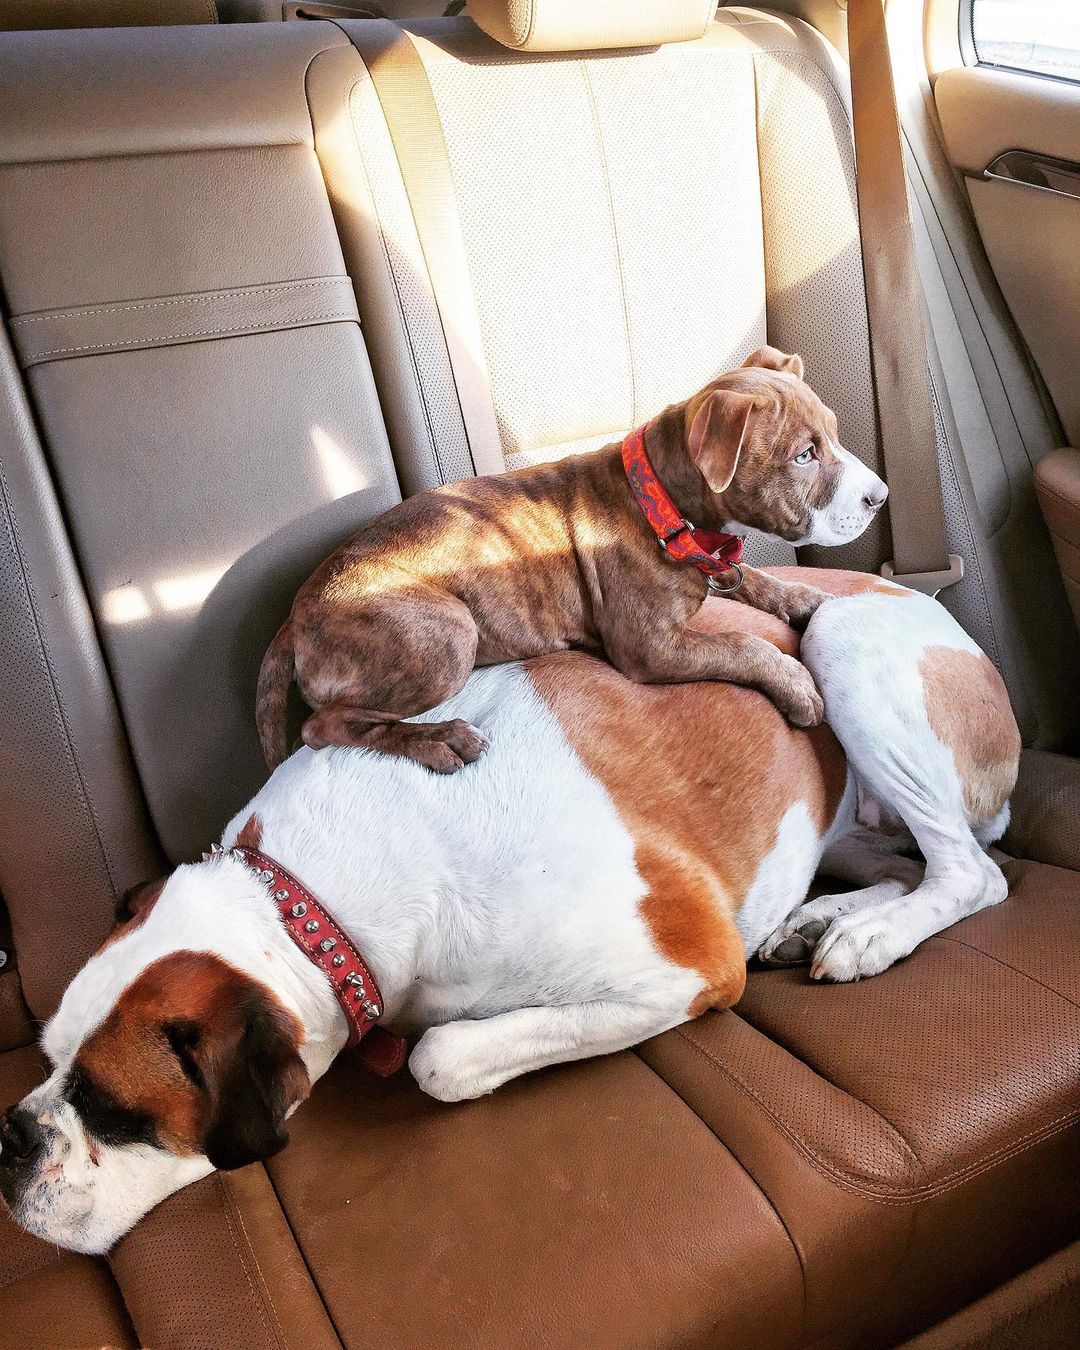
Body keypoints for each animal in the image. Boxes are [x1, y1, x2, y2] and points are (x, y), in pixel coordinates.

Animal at [0, 572, 1020, 1252]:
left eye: (112, 1110)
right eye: (48, 1063)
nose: (8, 1138)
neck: (305, 898)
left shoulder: (688, 966)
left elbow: (441, 1058)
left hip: (841, 643)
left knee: (974, 875)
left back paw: (872, 934)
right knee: (911, 863)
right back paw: (825, 918)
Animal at [257, 348, 891, 772]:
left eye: (835, 436)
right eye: (804, 455)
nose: (880, 496)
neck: (663, 505)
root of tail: (294, 617)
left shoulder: (716, 571)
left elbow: (754, 577)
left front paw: (807, 598)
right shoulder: (649, 646)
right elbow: (743, 645)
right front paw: (796, 684)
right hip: (445, 632)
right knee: (322, 725)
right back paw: (439, 740)